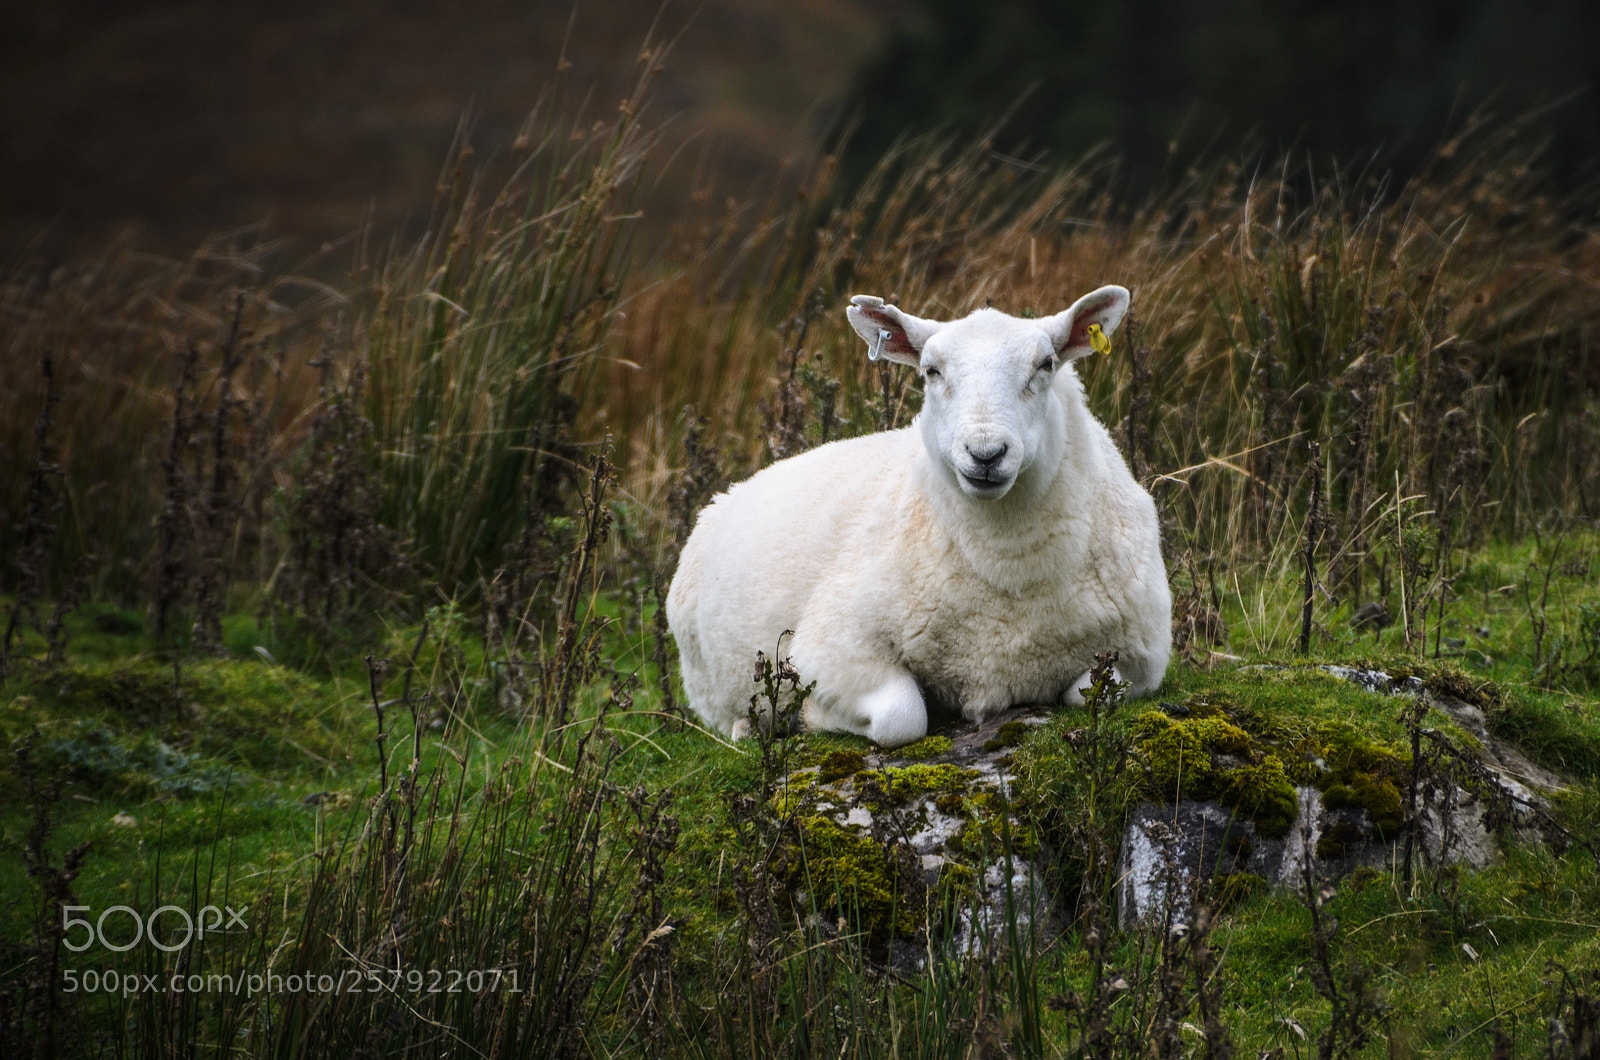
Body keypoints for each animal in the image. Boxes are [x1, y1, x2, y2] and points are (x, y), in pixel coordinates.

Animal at [665, 285, 1171, 747]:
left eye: (1045, 364)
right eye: (931, 370)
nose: (986, 454)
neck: (1006, 563)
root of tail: (728, 492)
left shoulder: (1143, 656)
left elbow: (1089, 693)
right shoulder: (830, 643)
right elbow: (902, 717)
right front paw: (812, 717)